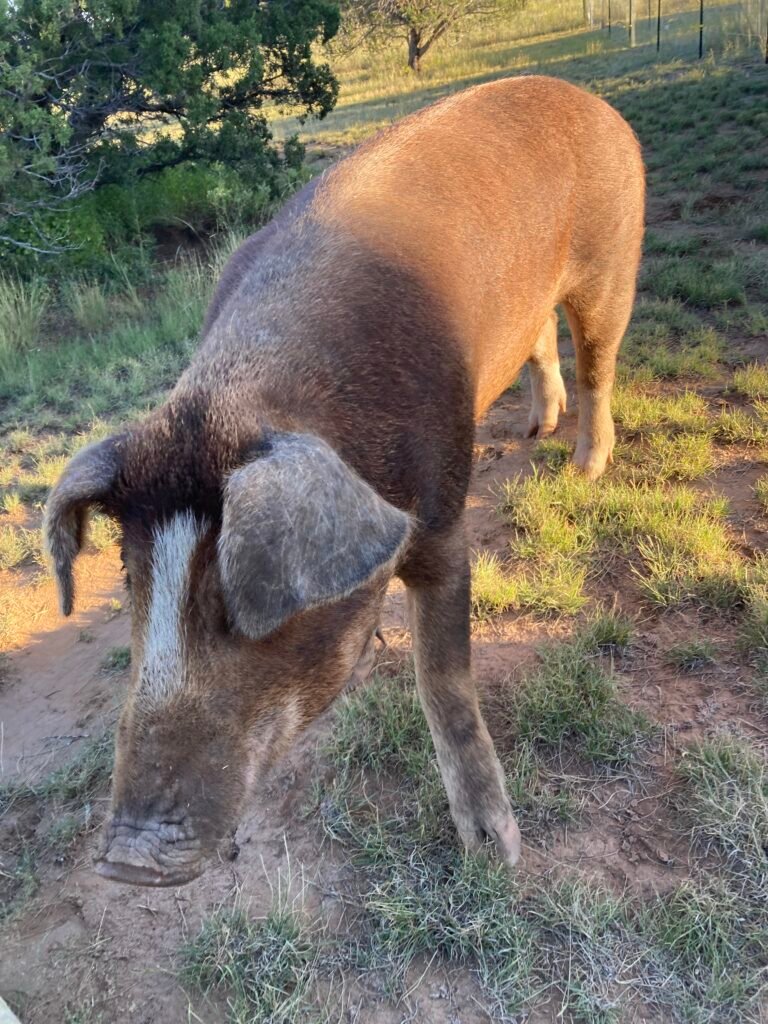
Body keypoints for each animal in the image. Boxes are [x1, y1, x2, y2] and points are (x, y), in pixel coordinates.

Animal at [44, 75, 644, 886]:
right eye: (133, 579)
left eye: (239, 601)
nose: (125, 861)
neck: (245, 395)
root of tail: (587, 96)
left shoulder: (442, 513)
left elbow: (444, 680)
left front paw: (496, 855)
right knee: (540, 339)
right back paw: (532, 432)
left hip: (613, 260)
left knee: (595, 363)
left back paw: (584, 469)